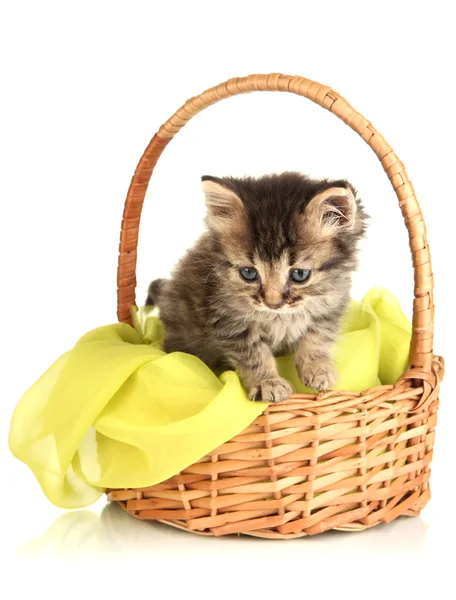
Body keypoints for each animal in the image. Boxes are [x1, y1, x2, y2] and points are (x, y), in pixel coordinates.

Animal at [146, 171, 366, 400]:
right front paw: (268, 383)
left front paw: (318, 368)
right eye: (248, 273)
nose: (273, 303)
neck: (280, 317)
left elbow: (318, 337)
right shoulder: (229, 320)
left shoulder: (330, 304)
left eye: (300, 275)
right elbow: (255, 356)